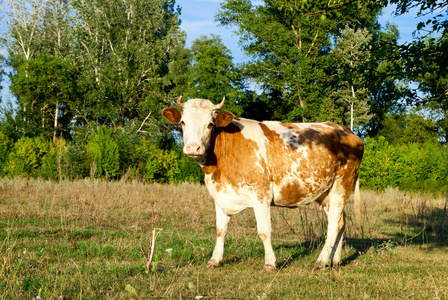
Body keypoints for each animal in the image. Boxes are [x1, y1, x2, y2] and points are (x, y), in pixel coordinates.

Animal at [161, 96, 364, 272]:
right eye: (183, 122)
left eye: (210, 124)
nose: (193, 148)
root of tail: (343, 128)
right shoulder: (220, 195)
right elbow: (220, 230)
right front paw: (214, 260)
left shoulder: (261, 194)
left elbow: (264, 231)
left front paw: (269, 263)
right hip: (326, 192)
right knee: (340, 222)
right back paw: (335, 261)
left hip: (341, 185)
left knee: (333, 224)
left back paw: (320, 262)